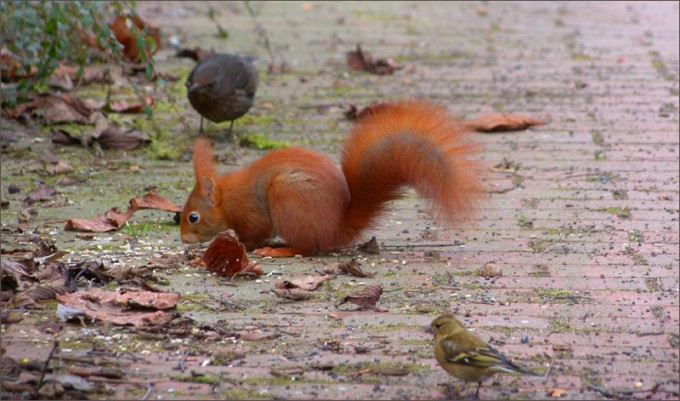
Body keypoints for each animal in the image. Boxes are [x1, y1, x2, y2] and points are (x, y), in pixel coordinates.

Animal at [180, 99, 484, 257]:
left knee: (306, 247)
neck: (226, 198)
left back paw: (278, 250)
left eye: (193, 217)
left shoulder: (251, 213)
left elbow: (255, 233)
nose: (183, 239)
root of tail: (336, 228)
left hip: (287, 197)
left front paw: (238, 245)